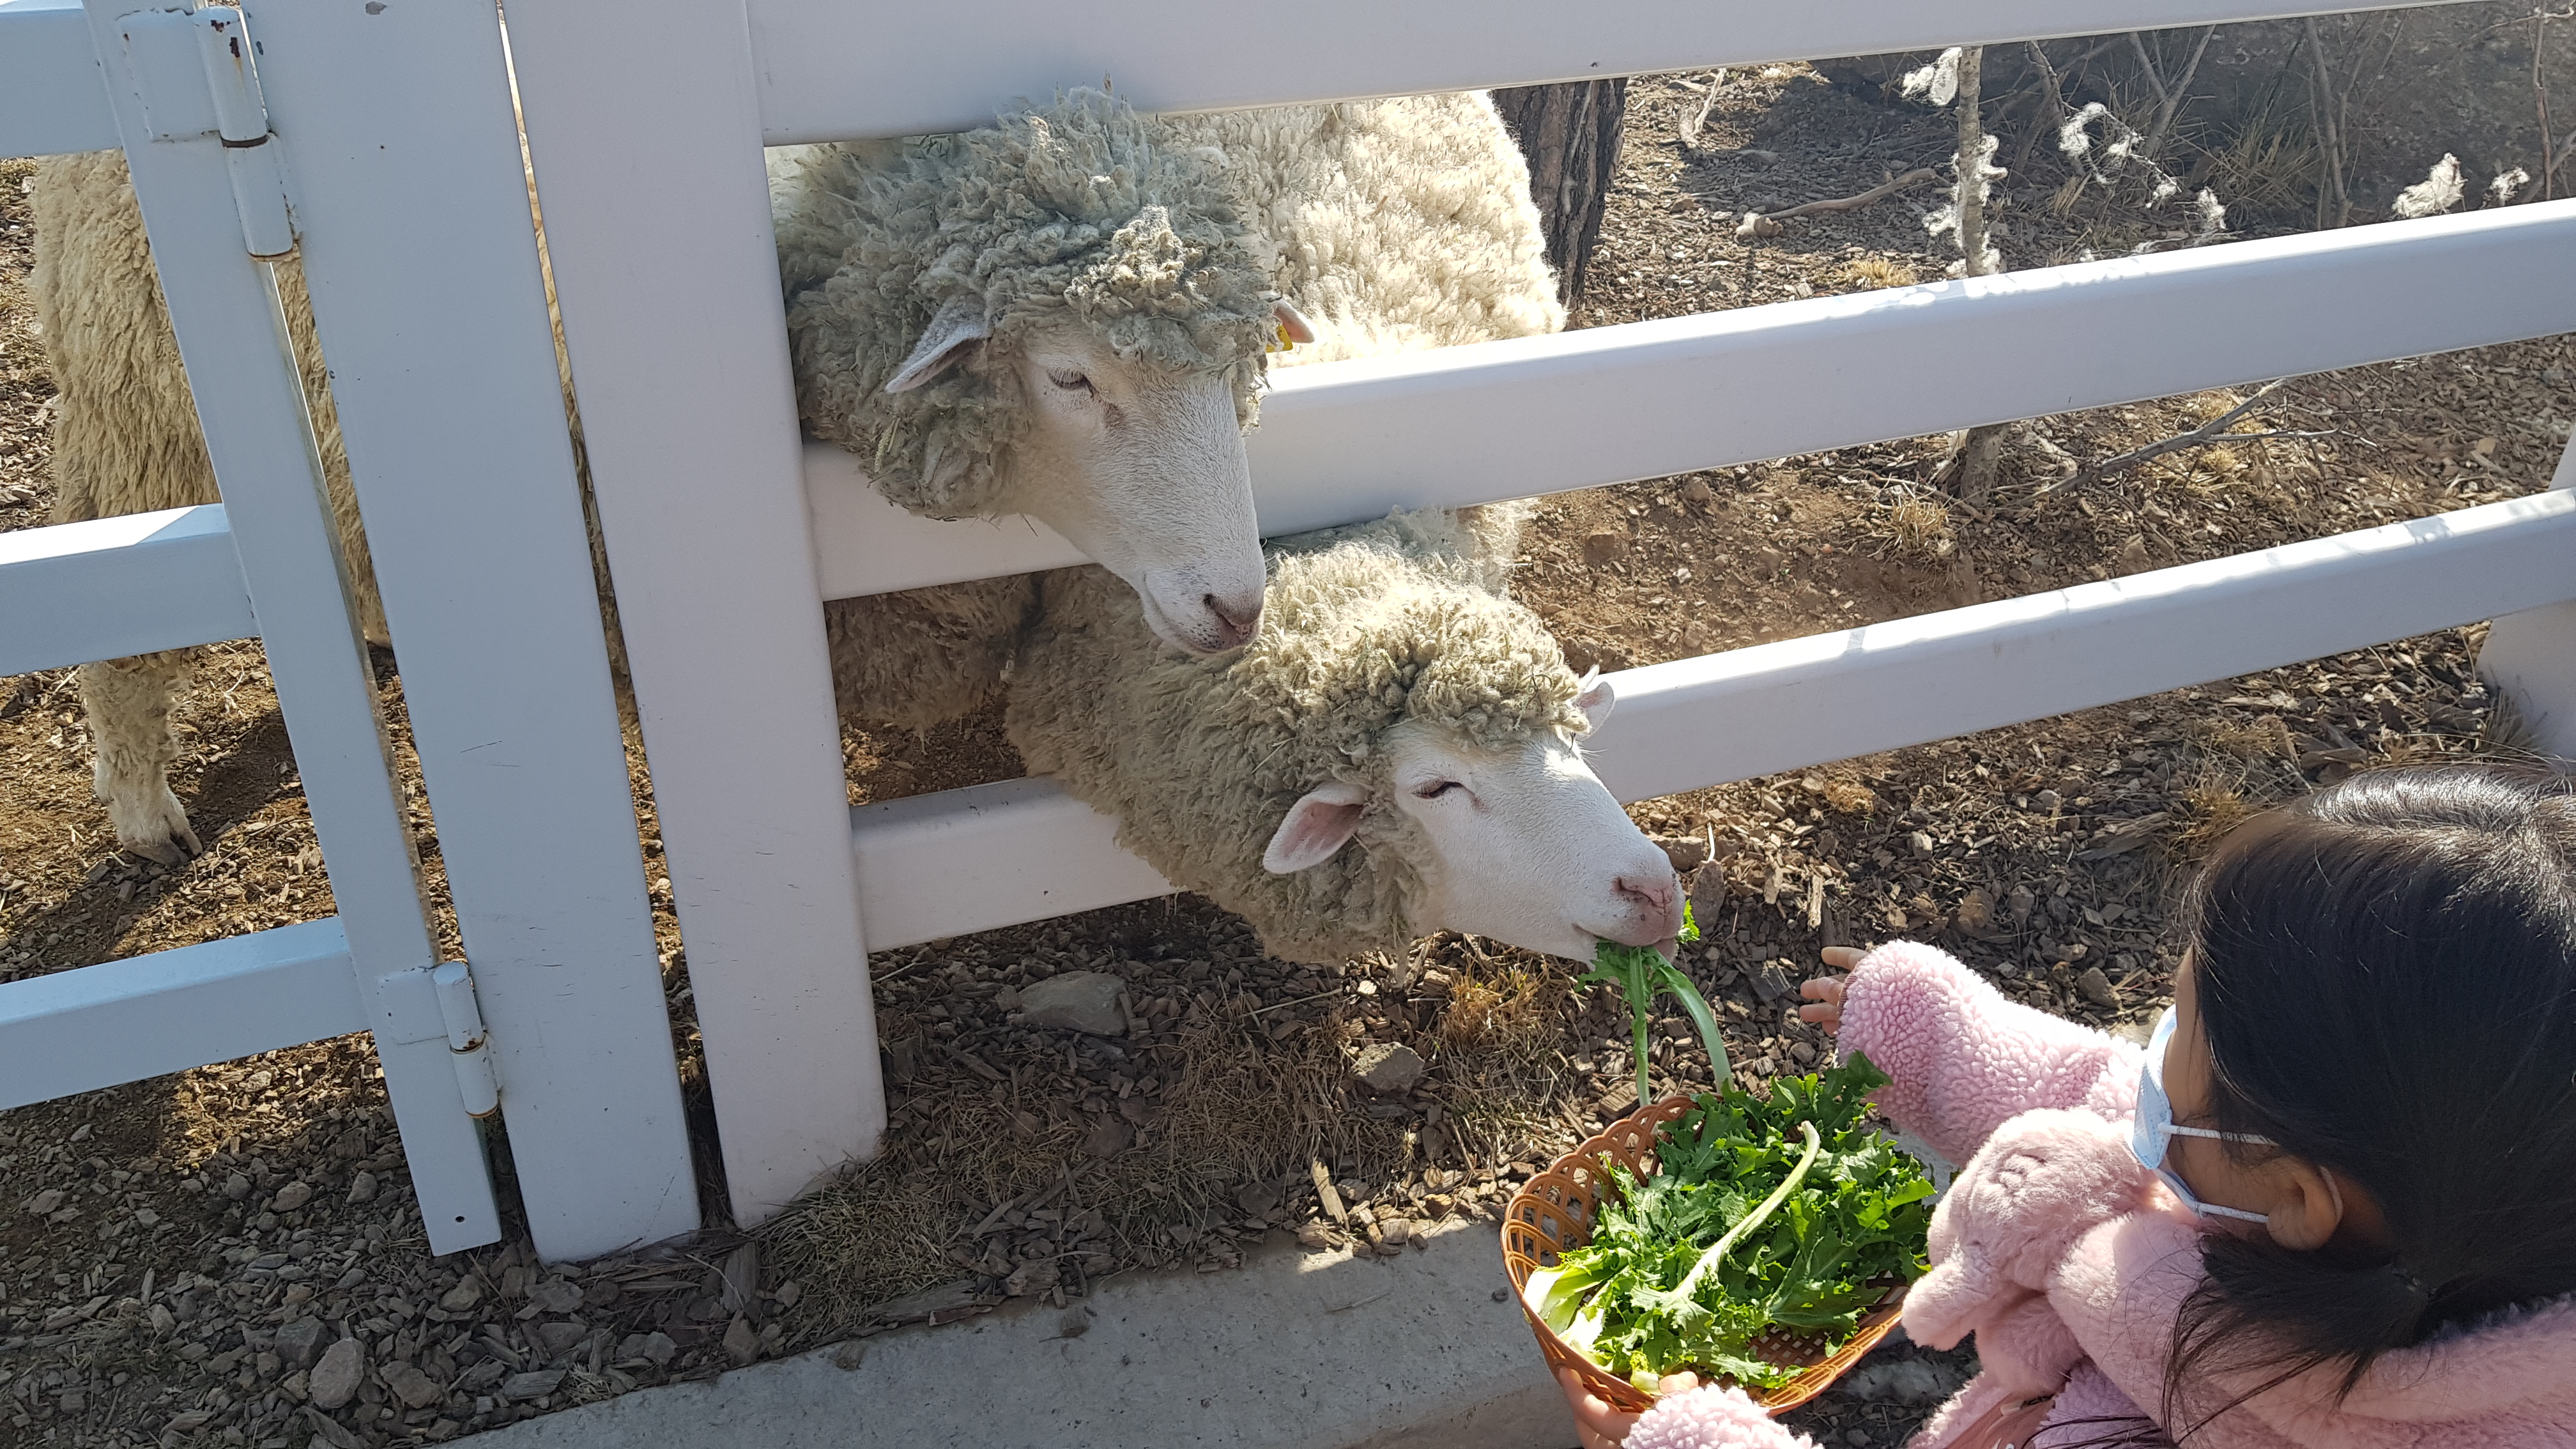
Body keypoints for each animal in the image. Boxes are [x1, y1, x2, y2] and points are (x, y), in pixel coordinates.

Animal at [30, 87, 1559, 864]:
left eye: (1245, 367)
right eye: (1071, 379)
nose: (1237, 605)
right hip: (128, 381)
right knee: (108, 589)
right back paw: (141, 803)